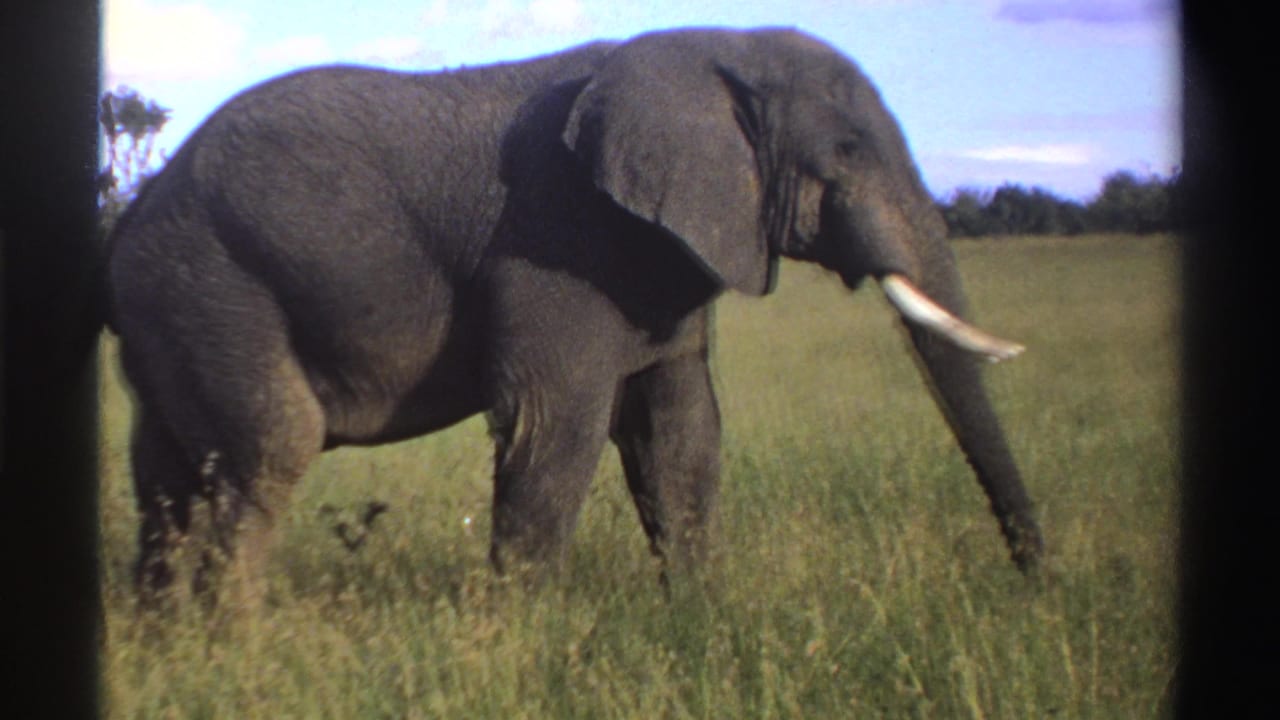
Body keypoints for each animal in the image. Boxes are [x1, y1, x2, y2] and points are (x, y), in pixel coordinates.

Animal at [105, 27, 1043, 601]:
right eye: (845, 150)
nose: (1035, 586)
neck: (714, 47)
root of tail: (135, 215)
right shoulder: (556, 240)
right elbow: (555, 424)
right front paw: (524, 641)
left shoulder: (661, 259)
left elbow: (680, 433)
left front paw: (697, 618)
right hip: (216, 280)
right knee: (270, 450)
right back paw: (236, 648)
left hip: (177, 307)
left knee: (168, 475)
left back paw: (170, 645)